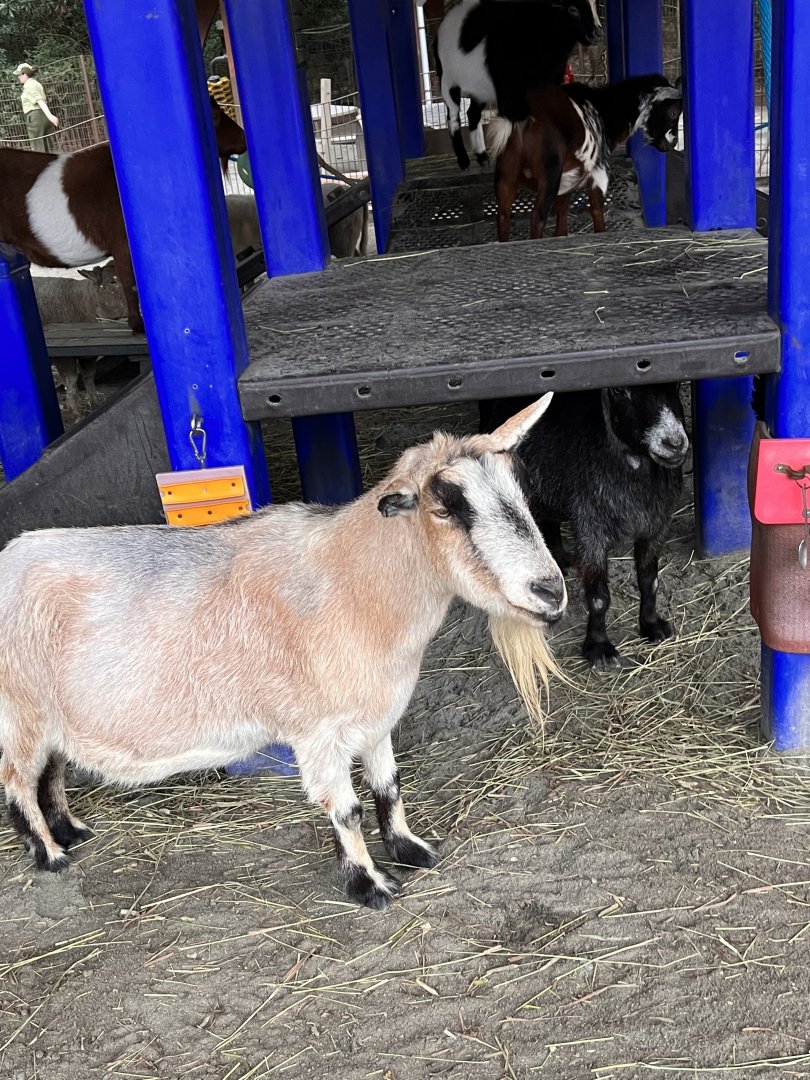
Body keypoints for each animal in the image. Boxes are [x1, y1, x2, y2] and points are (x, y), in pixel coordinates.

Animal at [0, 397, 566, 910]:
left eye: (522, 493)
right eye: (445, 508)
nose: (550, 591)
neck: (353, 585)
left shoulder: (377, 715)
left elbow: (389, 785)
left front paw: (410, 849)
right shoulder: (318, 731)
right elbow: (347, 811)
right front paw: (370, 884)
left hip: (52, 714)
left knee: (50, 769)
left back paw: (71, 830)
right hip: (19, 713)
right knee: (17, 781)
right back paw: (50, 854)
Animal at [435, 0, 601, 171]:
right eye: (573, 9)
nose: (597, 33)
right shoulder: (509, 92)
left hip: (479, 91)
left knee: (472, 114)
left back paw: (482, 157)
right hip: (448, 83)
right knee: (453, 118)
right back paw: (464, 161)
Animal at [480, 385, 688, 670]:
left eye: (676, 385)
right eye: (619, 391)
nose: (674, 443)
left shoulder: (655, 525)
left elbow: (650, 581)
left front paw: (652, 625)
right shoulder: (591, 529)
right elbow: (599, 596)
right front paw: (599, 648)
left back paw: (561, 559)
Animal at [489, 75, 682, 241]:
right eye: (674, 112)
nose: (673, 143)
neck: (604, 112)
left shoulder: (566, 179)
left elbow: (562, 214)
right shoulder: (596, 173)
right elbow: (597, 210)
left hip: (506, 172)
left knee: (503, 215)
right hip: (549, 172)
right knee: (538, 214)